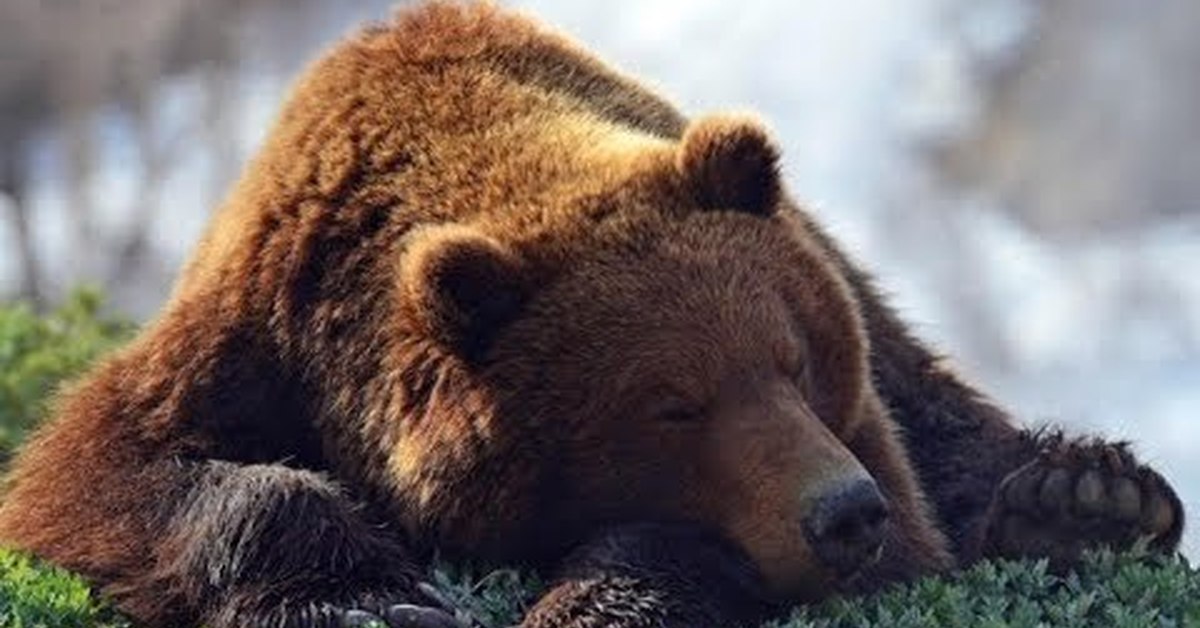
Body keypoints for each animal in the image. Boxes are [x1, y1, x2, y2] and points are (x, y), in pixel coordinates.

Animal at [0, 3, 1184, 627]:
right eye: (671, 404)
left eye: (794, 362)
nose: (843, 514)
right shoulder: (251, 327)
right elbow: (101, 473)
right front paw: (367, 597)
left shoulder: (861, 437)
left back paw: (1084, 496)